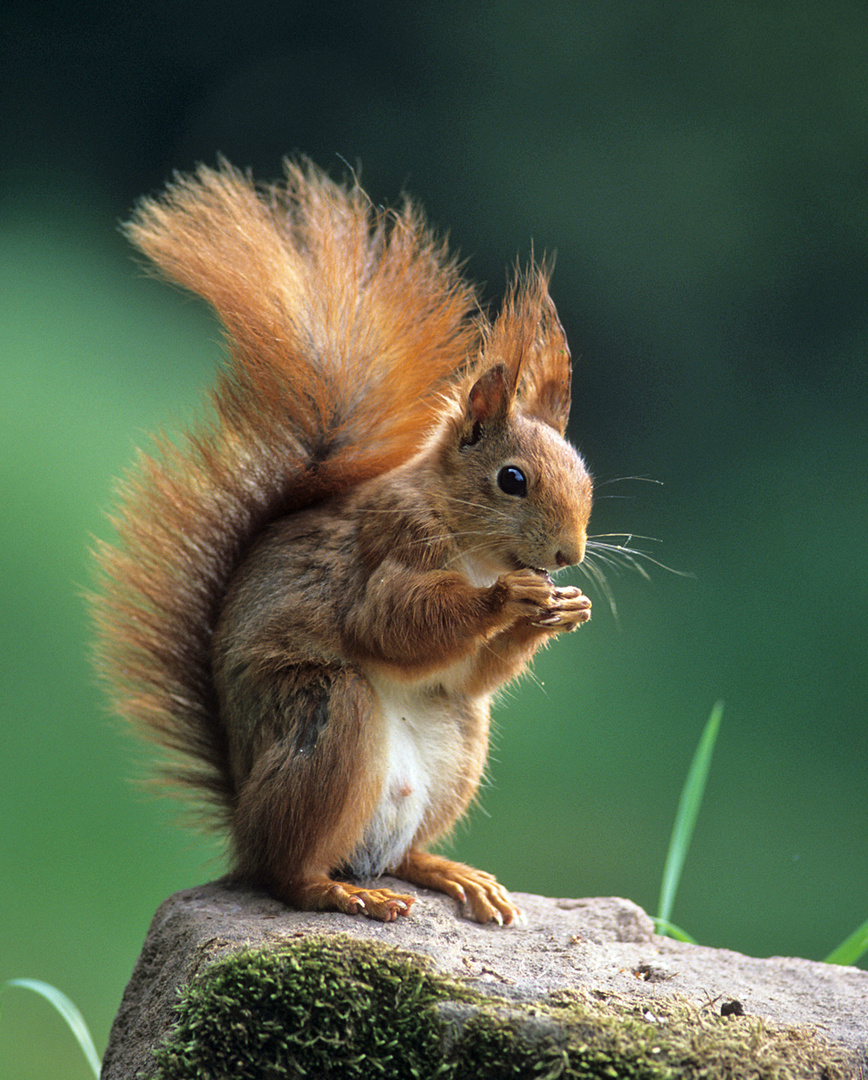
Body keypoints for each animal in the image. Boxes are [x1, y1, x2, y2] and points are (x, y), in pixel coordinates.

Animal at [92, 158, 593, 926]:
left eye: (584, 473)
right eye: (512, 479)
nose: (570, 555)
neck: (470, 547)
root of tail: (244, 825)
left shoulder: (462, 677)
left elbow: (469, 671)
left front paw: (562, 610)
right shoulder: (387, 547)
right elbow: (388, 621)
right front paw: (508, 598)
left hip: (460, 741)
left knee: (402, 850)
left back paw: (448, 872)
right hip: (327, 721)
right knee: (288, 873)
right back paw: (340, 891)